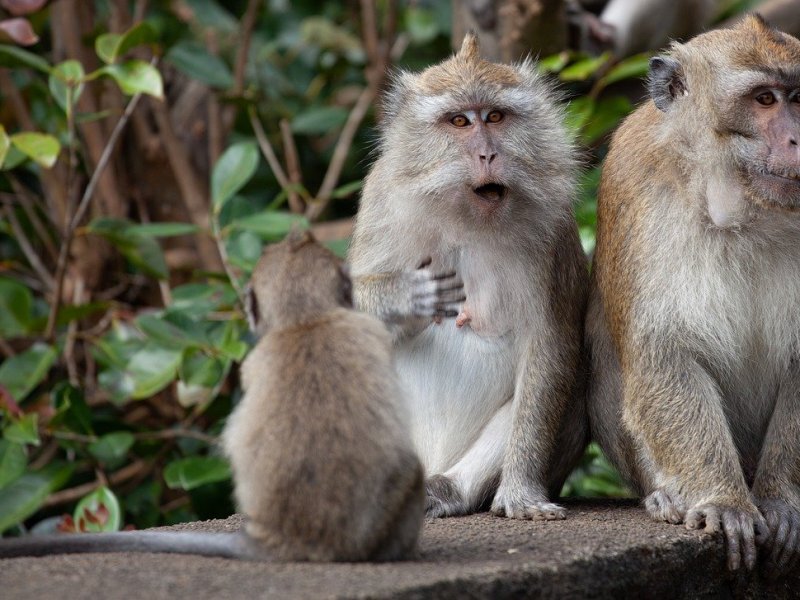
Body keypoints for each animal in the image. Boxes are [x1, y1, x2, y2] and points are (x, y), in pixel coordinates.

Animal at [348, 33, 589, 521]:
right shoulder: (380, 198)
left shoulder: (552, 227)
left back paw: (445, 490)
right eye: (459, 121)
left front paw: (521, 492)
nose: (487, 154)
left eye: (494, 116)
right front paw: (404, 296)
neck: (464, 217)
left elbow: (549, 346)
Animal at [586, 15, 800, 574]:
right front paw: (724, 500)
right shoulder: (636, 185)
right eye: (765, 99)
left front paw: (781, 501)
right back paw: (668, 494)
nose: (799, 139)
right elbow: (664, 353)